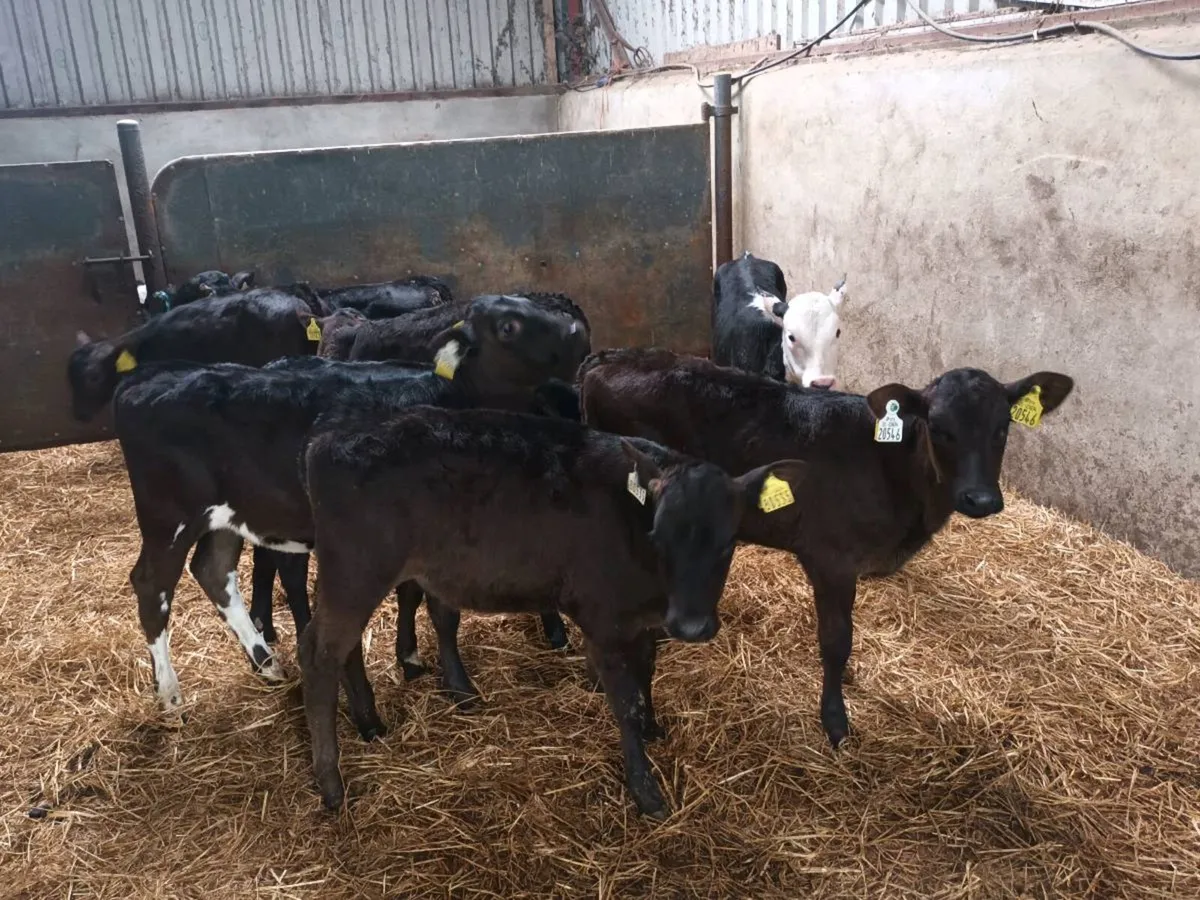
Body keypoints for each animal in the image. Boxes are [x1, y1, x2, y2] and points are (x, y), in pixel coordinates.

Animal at [112, 295, 587, 713]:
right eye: (509, 326)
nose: (578, 331)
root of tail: (143, 382)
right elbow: (440, 609)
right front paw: (457, 686)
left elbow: (416, 595)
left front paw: (412, 659)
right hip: (168, 517)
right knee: (151, 586)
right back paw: (170, 694)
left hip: (227, 515)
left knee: (213, 571)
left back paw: (267, 663)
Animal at [298, 404, 806, 818]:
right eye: (659, 536)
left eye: (728, 544)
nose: (691, 625)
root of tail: (328, 440)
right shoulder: (602, 621)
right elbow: (624, 701)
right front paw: (644, 788)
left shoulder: (645, 623)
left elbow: (647, 673)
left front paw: (653, 727)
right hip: (356, 571)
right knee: (319, 652)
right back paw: (331, 782)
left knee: (350, 646)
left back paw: (373, 720)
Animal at [578, 348, 1074, 748]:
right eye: (939, 427)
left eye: (1003, 427)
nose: (980, 499)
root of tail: (612, 355)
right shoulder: (831, 560)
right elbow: (837, 639)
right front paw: (835, 718)